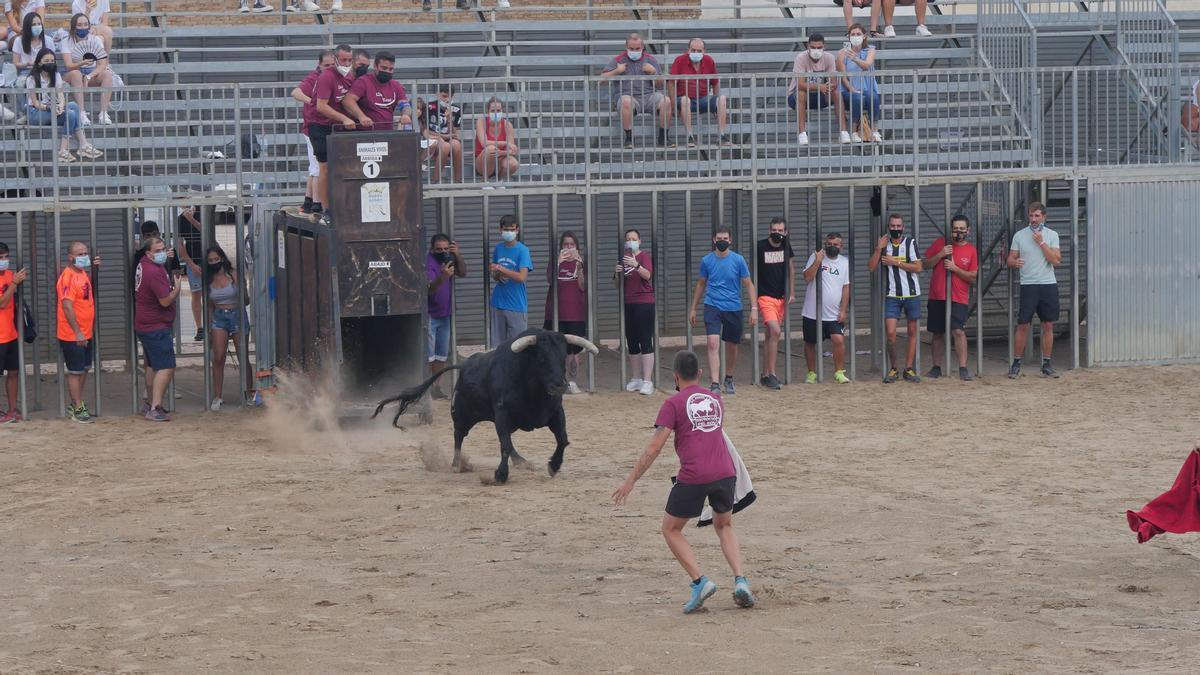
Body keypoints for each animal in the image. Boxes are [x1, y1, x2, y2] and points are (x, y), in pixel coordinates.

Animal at [369, 329, 600, 480]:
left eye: (563, 357)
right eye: (542, 358)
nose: (560, 385)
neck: (533, 388)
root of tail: (464, 366)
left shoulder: (555, 412)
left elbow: (562, 440)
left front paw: (554, 465)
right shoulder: (502, 414)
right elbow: (504, 445)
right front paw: (500, 475)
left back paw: (521, 462)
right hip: (462, 416)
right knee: (459, 437)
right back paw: (456, 465)